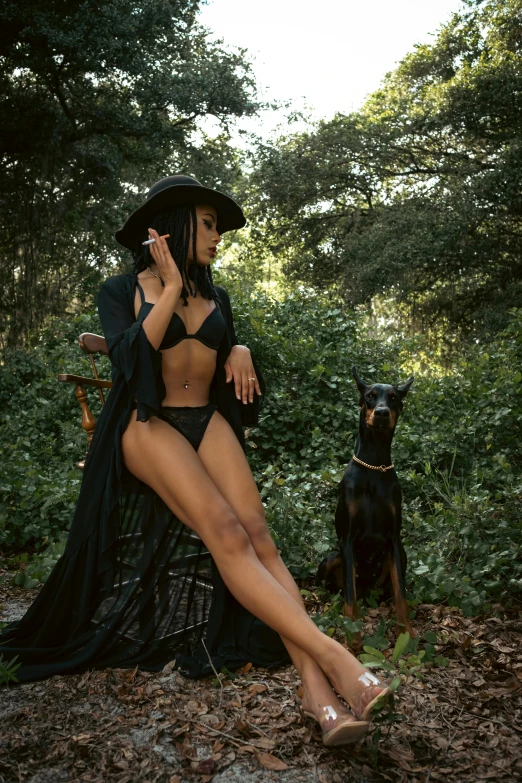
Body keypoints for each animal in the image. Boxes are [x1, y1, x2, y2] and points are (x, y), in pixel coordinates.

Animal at [316, 368, 414, 636]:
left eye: (393, 398)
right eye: (370, 396)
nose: (381, 413)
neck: (374, 465)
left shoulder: (393, 540)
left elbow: (401, 595)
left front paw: (406, 632)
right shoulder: (347, 539)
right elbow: (349, 596)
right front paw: (352, 636)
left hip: (401, 556)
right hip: (332, 557)